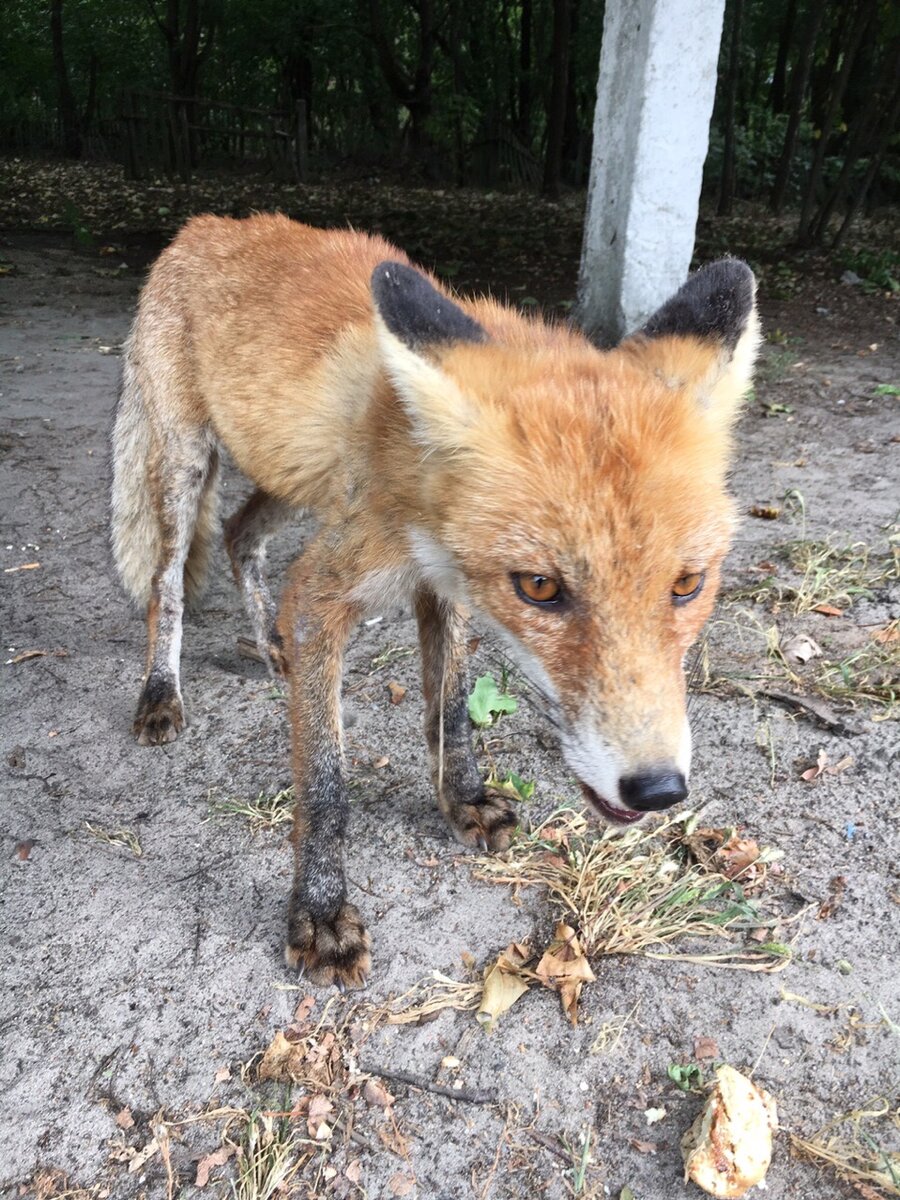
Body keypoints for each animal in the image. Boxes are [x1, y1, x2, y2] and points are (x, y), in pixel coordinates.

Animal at [111, 211, 763, 988]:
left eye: (687, 585)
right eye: (541, 588)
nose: (658, 789)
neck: (419, 484)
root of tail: (200, 225)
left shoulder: (442, 587)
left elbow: (451, 710)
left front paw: (464, 801)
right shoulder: (325, 591)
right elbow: (325, 787)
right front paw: (320, 913)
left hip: (293, 483)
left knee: (241, 535)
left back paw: (268, 644)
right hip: (187, 468)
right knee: (168, 585)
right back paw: (160, 691)